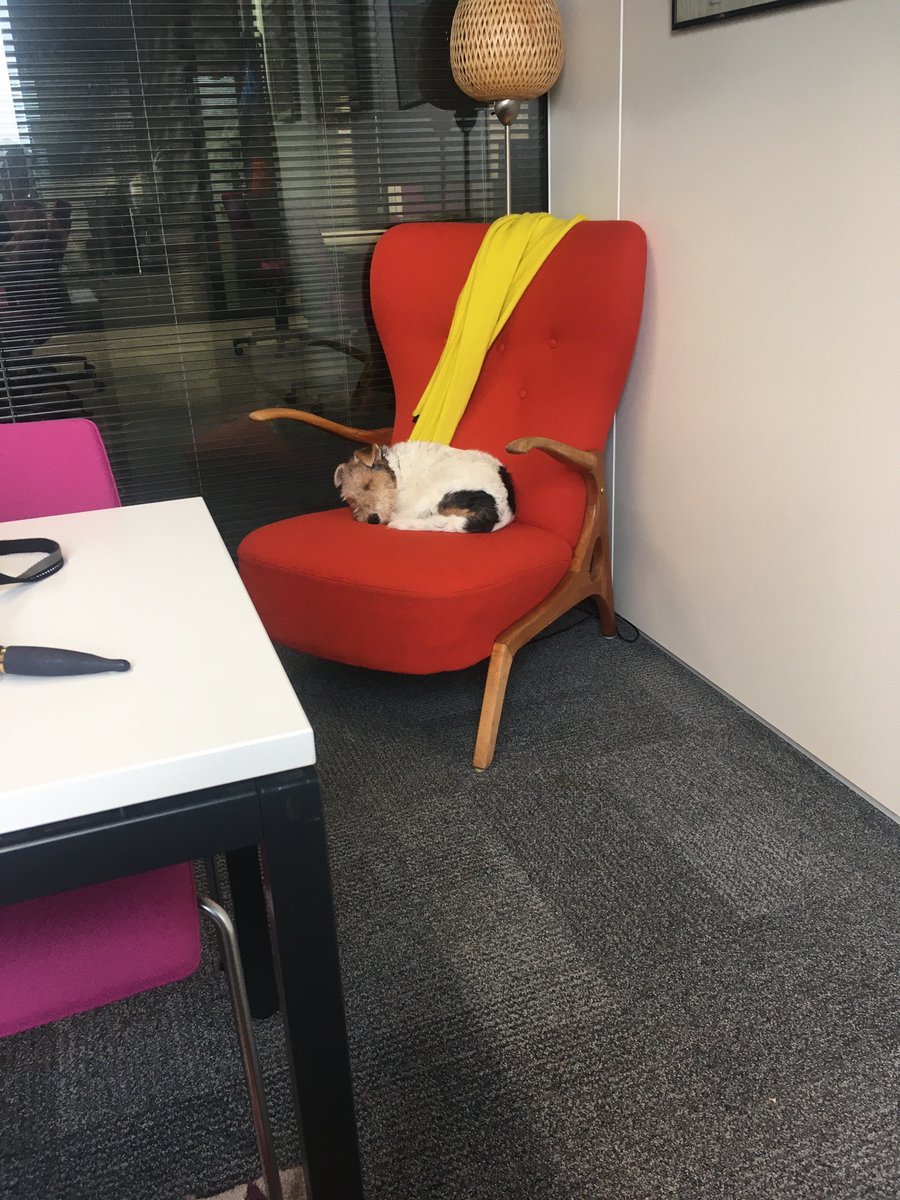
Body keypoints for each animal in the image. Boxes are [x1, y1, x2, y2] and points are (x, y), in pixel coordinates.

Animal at [333, 441, 516, 533]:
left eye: (368, 484)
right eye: (351, 500)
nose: (372, 519)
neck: (397, 470)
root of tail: (497, 513)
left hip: (432, 493)